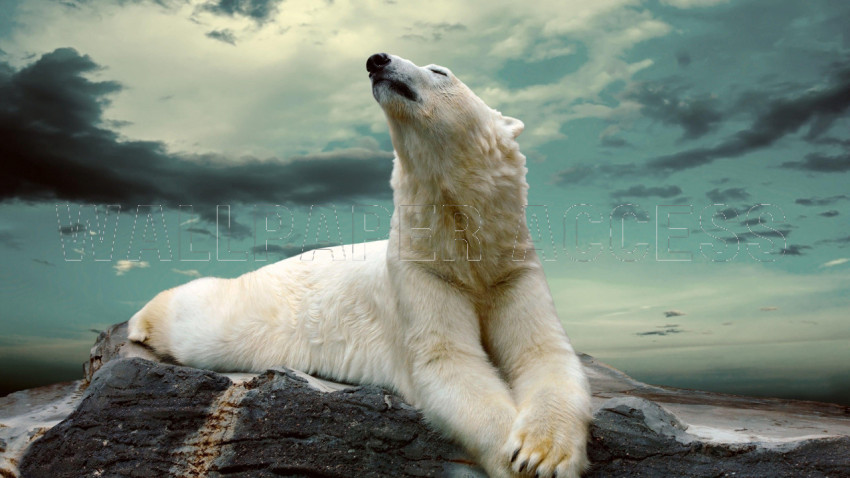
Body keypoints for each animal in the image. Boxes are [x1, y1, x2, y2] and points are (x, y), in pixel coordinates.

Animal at [128, 53, 591, 478]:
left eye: (439, 71)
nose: (377, 60)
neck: (463, 247)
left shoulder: (511, 269)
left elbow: (544, 353)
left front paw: (542, 453)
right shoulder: (420, 272)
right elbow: (448, 362)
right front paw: (522, 461)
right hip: (256, 311)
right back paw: (140, 322)